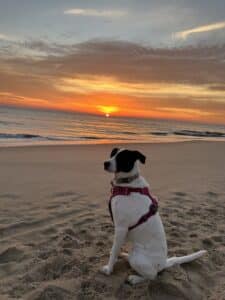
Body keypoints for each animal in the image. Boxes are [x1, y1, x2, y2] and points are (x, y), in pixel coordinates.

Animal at [101, 149, 207, 284]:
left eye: (122, 158)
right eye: (112, 154)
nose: (105, 163)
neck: (127, 185)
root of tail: (164, 263)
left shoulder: (121, 228)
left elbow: (114, 251)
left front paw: (109, 269)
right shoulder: (122, 231)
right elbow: (115, 248)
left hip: (138, 257)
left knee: (152, 276)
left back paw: (135, 278)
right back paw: (125, 255)